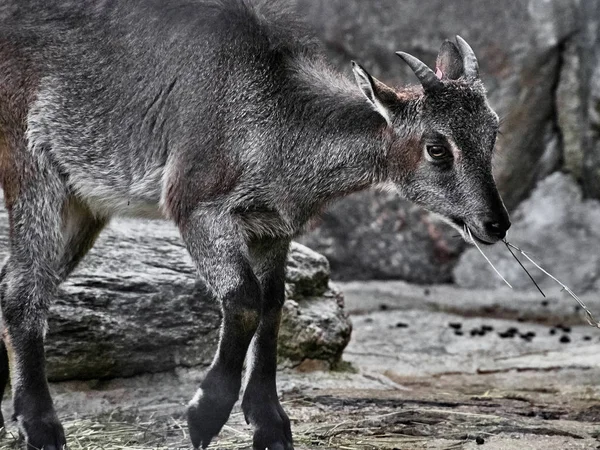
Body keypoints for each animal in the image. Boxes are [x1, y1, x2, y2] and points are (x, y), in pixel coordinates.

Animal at [0, 0, 510, 450]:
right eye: (437, 147)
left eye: (493, 131)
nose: (496, 223)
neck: (274, 120)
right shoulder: (196, 206)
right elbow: (245, 300)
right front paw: (205, 415)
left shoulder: (271, 229)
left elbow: (273, 306)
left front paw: (270, 424)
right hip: (33, 170)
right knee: (22, 292)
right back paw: (40, 427)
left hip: (83, 204)